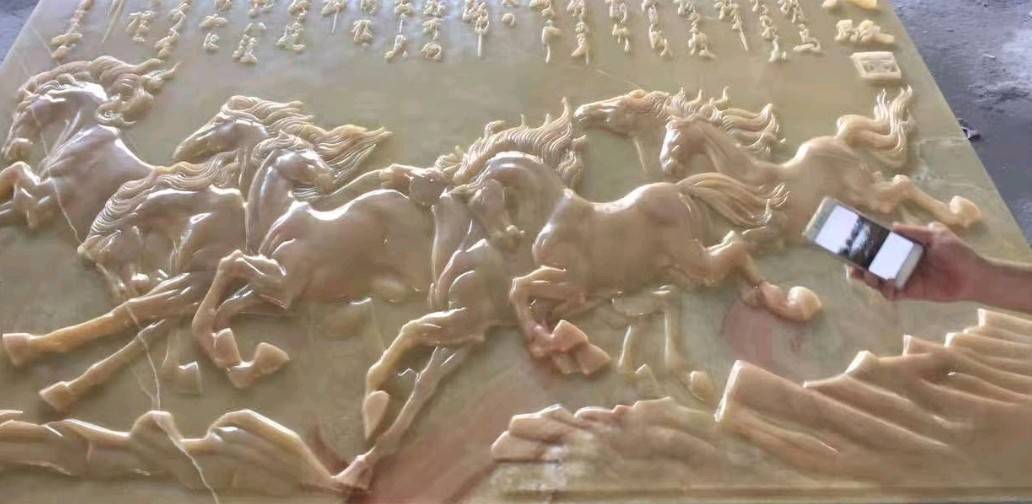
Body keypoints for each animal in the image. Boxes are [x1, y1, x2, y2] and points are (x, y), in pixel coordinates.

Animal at [0, 56, 175, 239]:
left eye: (22, 109)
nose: (11, 150)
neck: (85, 136)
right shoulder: (20, 208)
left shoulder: (41, 199)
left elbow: (17, 169)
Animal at [659, 87, 983, 243]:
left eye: (674, 131)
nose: (666, 166)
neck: (753, 179)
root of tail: (839, 140)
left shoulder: (776, 223)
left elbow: (752, 236)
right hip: (868, 183)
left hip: (865, 192)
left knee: (902, 186)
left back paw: (960, 213)